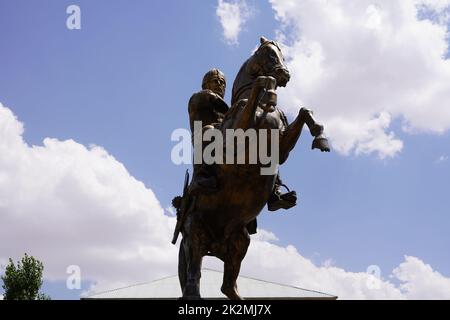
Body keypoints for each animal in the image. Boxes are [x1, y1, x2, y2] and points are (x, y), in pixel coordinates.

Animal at [178, 37, 330, 300]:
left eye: (281, 54)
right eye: (268, 53)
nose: (284, 74)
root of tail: (214, 245)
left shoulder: (281, 149)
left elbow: (305, 112)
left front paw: (320, 137)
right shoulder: (234, 142)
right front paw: (265, 84)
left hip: (240, 239)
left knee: (227, 284)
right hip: (195, 231)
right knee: (194, 271)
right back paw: (192, 293)